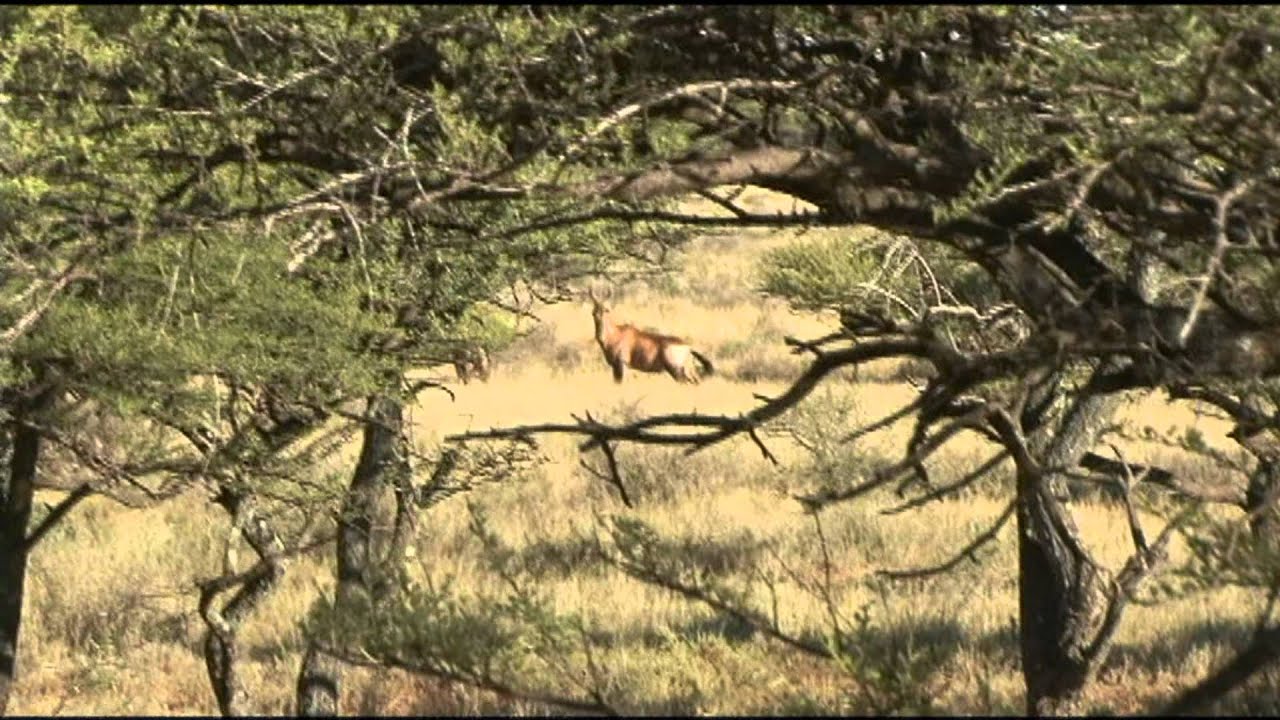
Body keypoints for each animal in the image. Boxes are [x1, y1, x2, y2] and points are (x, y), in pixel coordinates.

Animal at [586, 286, 716, 384]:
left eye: (606, 310)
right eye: (593, 312)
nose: (599, 336)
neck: (617, 333)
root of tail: (688, 347)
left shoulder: (622, 365)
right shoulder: (614, 367)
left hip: (676, 370)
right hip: (686, 370)